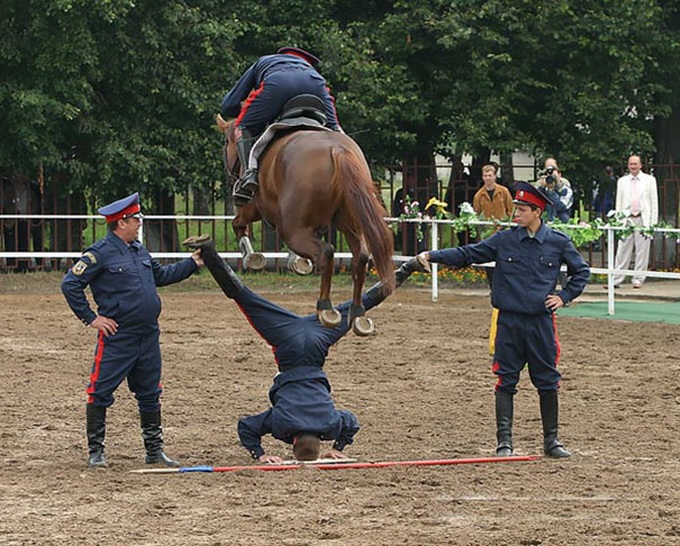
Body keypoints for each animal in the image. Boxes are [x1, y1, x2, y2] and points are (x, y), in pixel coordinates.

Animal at [215, 116, 396, 332]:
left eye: (227, 142)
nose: (228, 176)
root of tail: (337, 149)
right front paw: (297, 261)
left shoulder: (253, 207)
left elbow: (237, 224)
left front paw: (252, 257)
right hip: (350, 224)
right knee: (360, 257)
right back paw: (357, 313)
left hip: (292, 229)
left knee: (326, 252)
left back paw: (325, 308)